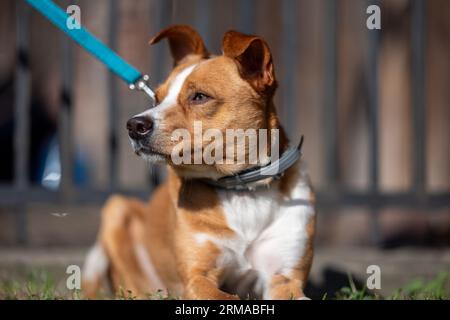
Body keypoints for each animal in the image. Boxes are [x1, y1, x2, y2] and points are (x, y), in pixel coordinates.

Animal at [83, 25, 316, 300]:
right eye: (157, 99)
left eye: (199, 97)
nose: (133, 125)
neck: (241, 189)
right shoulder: (197, 276)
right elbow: (222, 295)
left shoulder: (284, 277)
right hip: (116, 209)